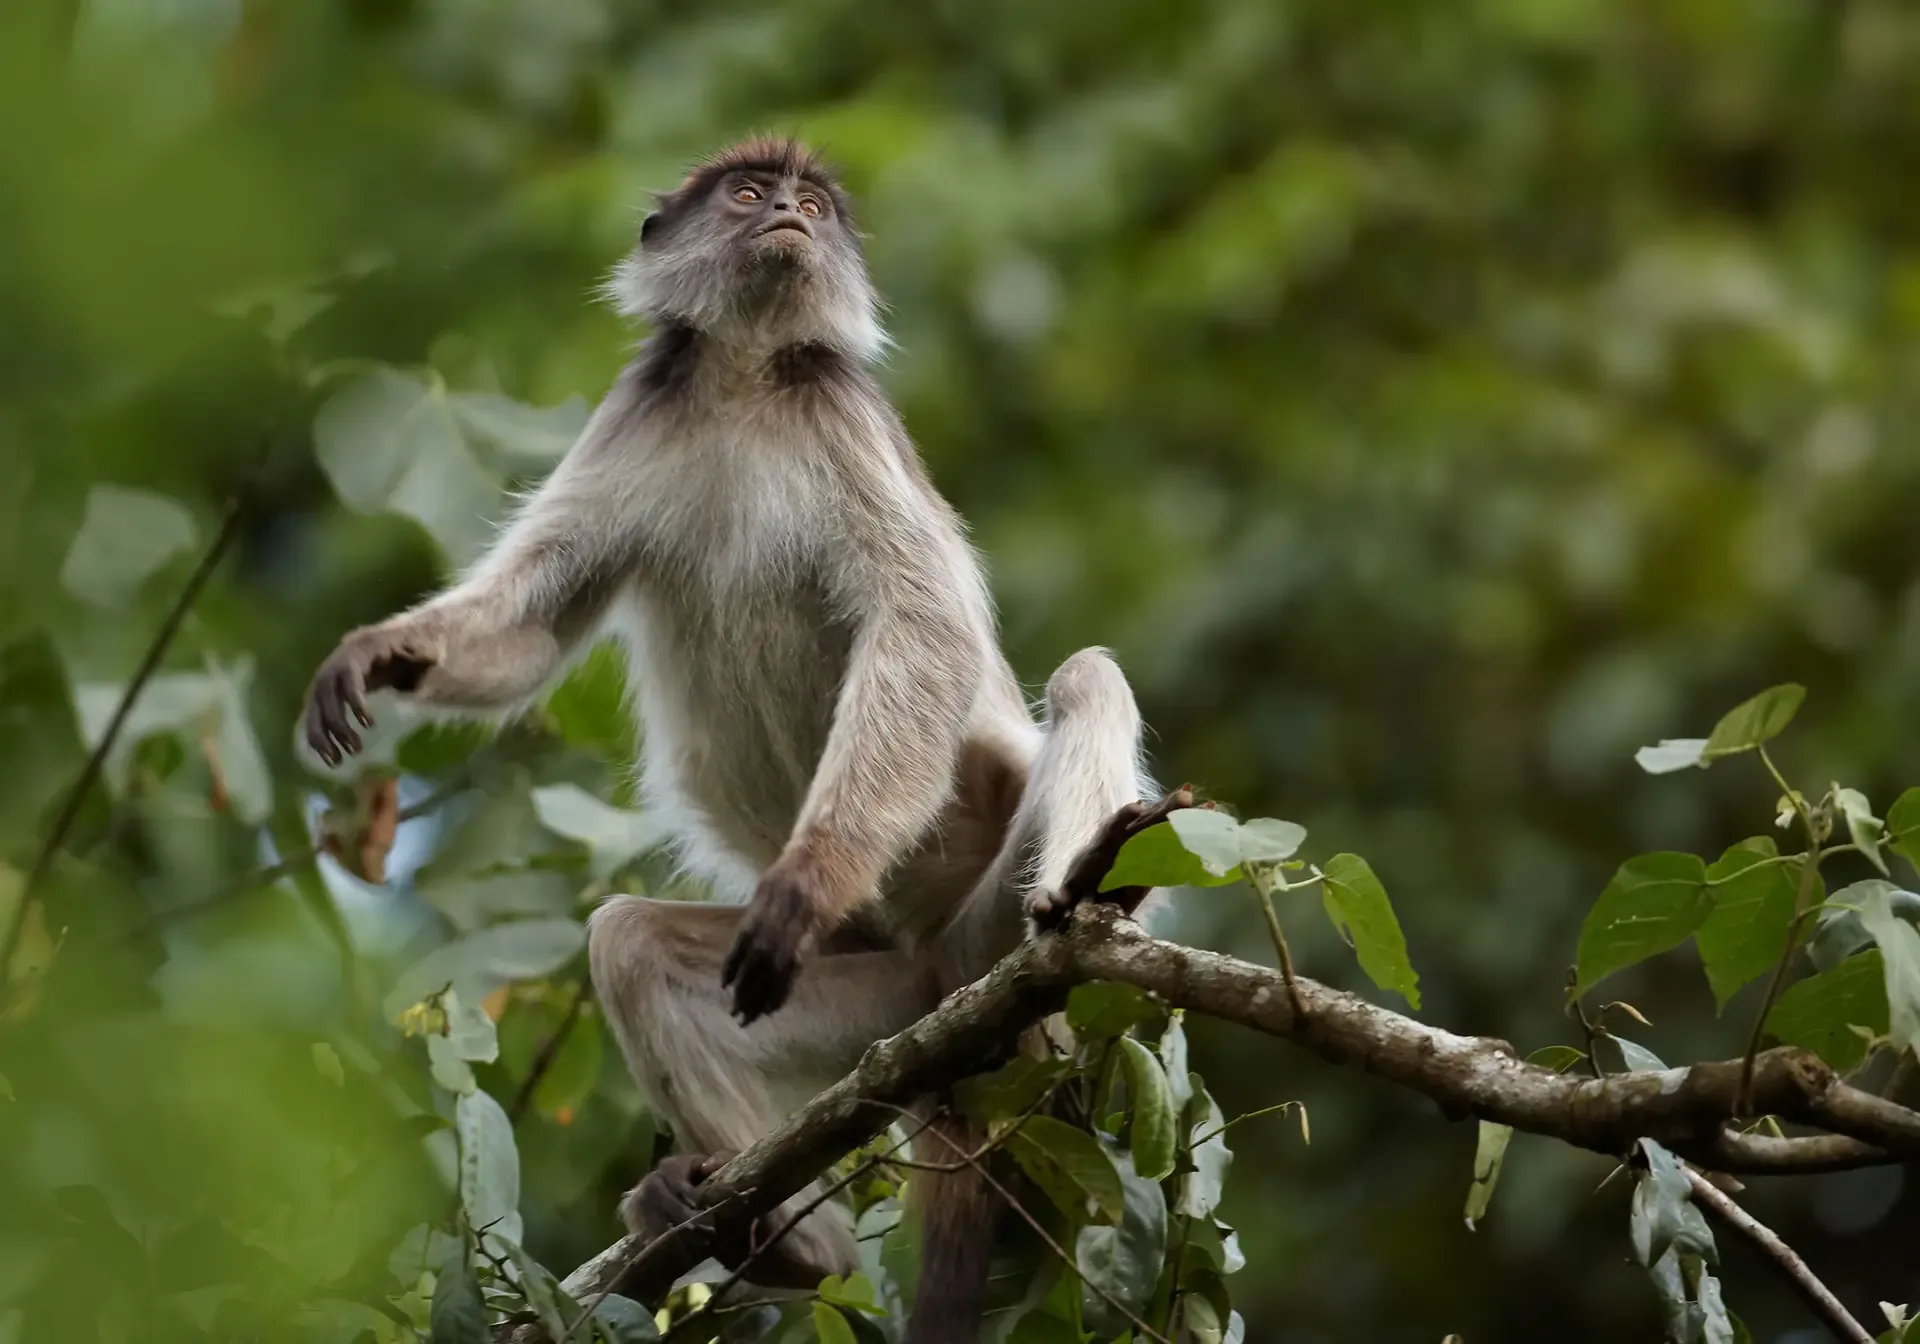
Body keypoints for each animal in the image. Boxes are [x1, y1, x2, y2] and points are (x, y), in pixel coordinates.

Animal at [303, 138, 1181, 1344]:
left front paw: (808, 878)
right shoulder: (643, 406)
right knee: (627, 939)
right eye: (751, 197)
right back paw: (784, 1243)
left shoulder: (839, 410)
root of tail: (939, 979)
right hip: (880, 996)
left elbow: (927, 634)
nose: (790, 219)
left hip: (981, 931)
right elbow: (532, 633)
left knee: (1085, 677)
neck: (745, 384)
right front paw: (382, 654)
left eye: (810, 204)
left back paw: (1090, 891)